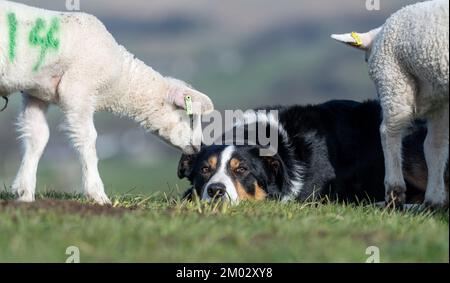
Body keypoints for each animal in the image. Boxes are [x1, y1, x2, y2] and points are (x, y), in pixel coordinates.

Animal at [0, 0, 214, 204]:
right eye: (189, 115)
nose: (198, 146)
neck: (119, 83)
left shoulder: (36, 91)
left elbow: (37, 136)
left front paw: (24, 193)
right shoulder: (77, 89)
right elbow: (88, 139)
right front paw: (97, 194)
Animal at [332, 0, 448, 209]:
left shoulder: (393, 73)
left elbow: (390, 131)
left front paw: (395, 192)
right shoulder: (440, 99)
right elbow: (435, 145)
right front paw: (434, 200)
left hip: (393, 79)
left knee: (390, 129)